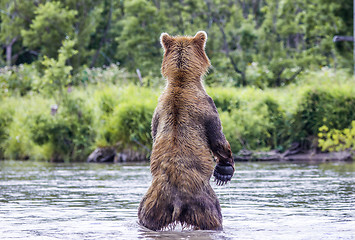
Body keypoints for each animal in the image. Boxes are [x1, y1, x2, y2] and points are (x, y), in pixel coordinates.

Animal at [138, 31, 235, 231]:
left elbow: (153, 132)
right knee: (214, 216)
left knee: (144, 215)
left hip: (153, 203)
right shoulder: (207, 105)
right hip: (204, 202)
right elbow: (217, 138)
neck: (181, 80)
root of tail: (177, 202)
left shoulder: (157, 112)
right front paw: (225, 169)